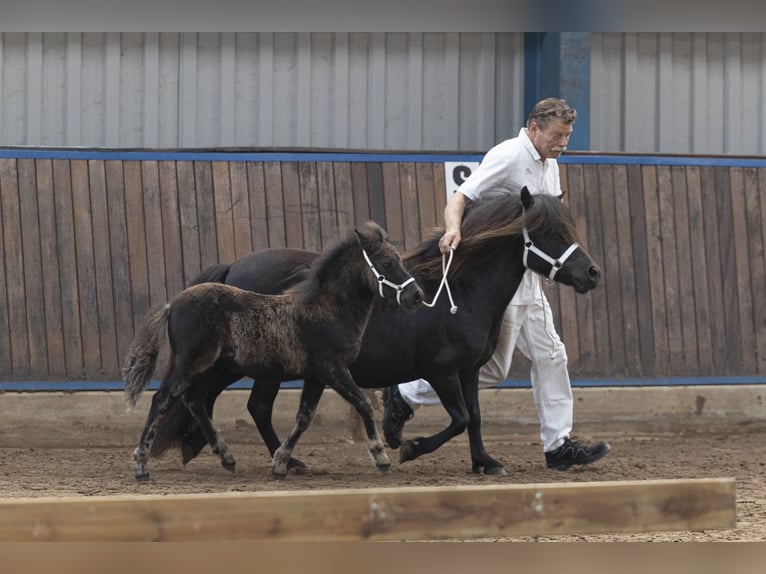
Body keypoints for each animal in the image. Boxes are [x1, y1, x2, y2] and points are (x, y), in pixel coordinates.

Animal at [122, 220, 424, 482]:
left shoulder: (315, 377)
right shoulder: (333, 370)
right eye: (387, 263)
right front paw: (381, 457)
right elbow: (363, 403)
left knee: (195, 400)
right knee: (163, 399)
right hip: (195, 363)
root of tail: (172, 305)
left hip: (214, 366)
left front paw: (281, 462)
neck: (327, 310)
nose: (417, 295)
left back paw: (226, 457)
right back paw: (142, 465)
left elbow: (304, 417)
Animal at [150, 189, 600, 476]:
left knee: (217, 401)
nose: (592, 273)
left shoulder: (469, 371)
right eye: (548, 233)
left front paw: (485, 463)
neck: (461, 291)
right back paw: (272, 458)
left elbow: (474, 418)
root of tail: (230, 270)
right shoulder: (442, 371)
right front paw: (410, 448)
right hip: (243, 365)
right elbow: (458, 418)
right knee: (232, 402)